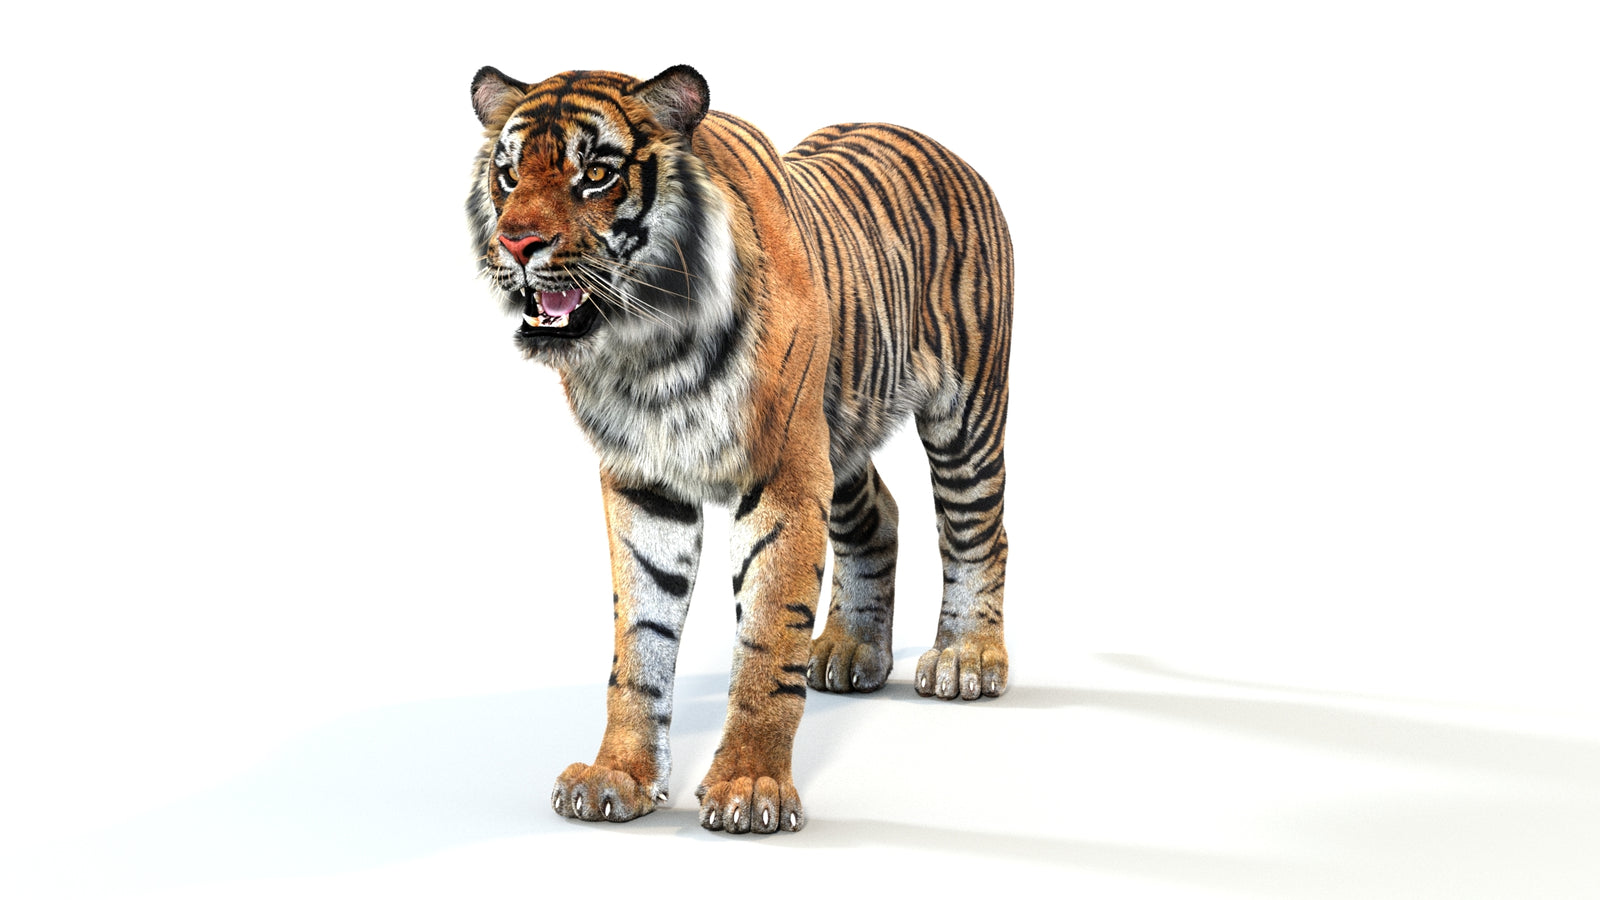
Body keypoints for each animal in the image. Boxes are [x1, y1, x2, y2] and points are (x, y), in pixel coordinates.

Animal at [466, 64, 1012, 834]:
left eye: (596, 174)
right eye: (509, 174)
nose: (516, 245)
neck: (645, 347)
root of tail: (942, 147)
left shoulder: (785, 475)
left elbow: (766, 634)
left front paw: (751, 785)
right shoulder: (644, 484)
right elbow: (640, 640)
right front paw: (618, 776)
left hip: (964, 412)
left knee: (978, 531)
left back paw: (966, 658)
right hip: (838, 435)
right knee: (881, 514)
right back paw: (852, 650)